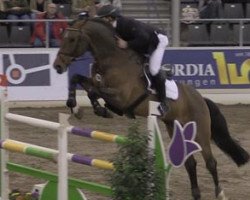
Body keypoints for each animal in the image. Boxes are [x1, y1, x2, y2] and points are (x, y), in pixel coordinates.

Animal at [52, 18, 248, 199]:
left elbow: (93, 91)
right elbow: (78, 79)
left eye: (72, 39)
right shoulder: (97, 82)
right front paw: (75, 106)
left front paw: (100, 110)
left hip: (200, 132)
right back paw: (196, 193)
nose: (57, 66)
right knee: (190, 163)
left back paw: (219, 193)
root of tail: (200, 98)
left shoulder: (121, 97)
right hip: (175, 128)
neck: (112, 59)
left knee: (211, 162)